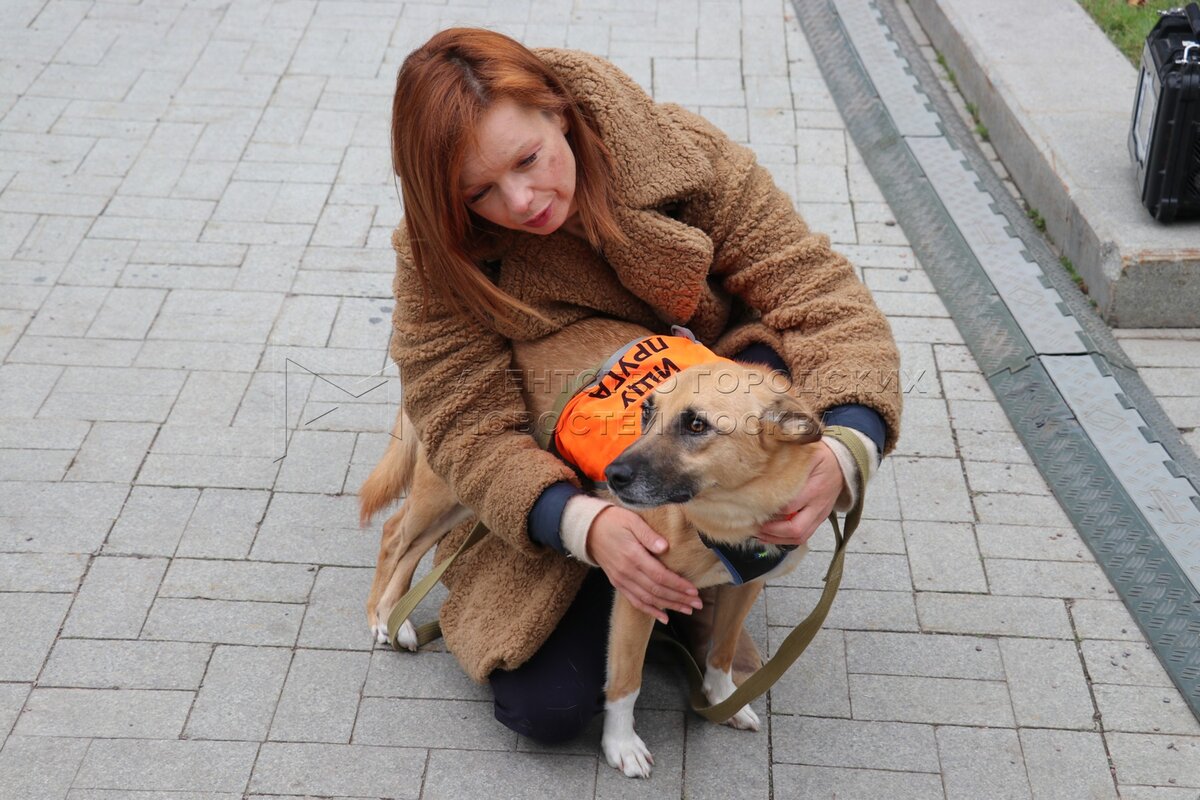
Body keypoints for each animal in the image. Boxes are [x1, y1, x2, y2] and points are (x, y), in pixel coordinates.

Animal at [359, 317, 824, 778]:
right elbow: (625, 682)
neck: (726, 519)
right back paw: (385, 618)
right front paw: (621, 745)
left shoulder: (745, 587)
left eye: (697, 426)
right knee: (396, 535)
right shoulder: (637, 596)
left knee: (407, 539)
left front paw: (722, 696)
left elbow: (721, 651)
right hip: (456, 478)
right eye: (647, 412)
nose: (613, 475)